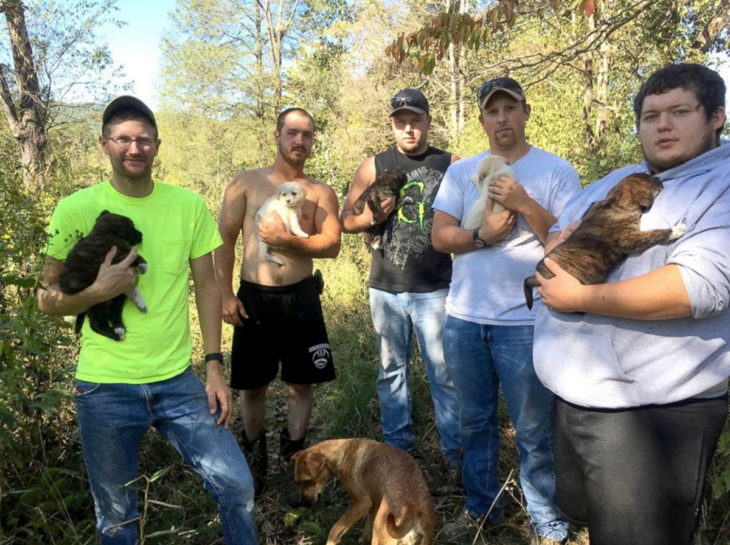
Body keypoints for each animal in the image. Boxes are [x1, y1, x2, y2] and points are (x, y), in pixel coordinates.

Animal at [59, 209, 147, 340]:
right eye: (131, 226)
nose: (141, 235)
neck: (103, 232)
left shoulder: (124, 282)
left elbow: (133, 289)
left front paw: (140, 301)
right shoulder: (115, 260)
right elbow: (134, 255)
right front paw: (143, 264)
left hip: (117, 296)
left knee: (114, 313)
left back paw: (119, 327)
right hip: (97, 301)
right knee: (96, 325)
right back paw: (115, 334)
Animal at [290, 438, 436, 544]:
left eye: (309, 481)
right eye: (297, 482)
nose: (303, 503)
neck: (343, 452)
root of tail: (412, 509)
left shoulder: (361, 503)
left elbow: (335, 529)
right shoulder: (374, 503)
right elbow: (367, 524)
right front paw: (363, 538)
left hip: (379, 535)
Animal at [524, 174, 684, 310]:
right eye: (650, 179)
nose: (659, 178)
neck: (615, 203)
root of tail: (536, 277)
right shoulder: (629, 239)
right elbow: (655, 233)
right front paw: (676, 230)